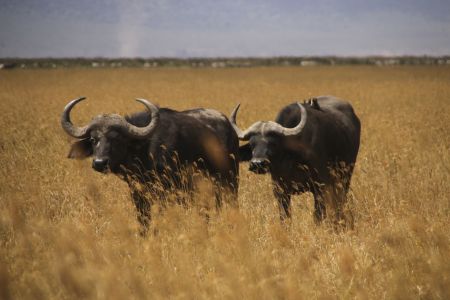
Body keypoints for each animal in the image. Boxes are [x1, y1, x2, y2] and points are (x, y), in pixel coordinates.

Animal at [62, 97, 243, 229]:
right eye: (93, 139)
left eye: (117, 139)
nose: (99, 163)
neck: (146, 150)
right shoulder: (138, 194)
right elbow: (144, 221)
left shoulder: (167, 193)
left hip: (230, 182)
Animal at [232, 96, 362, 225]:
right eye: (252, 144)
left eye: (273, 143)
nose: (257, 163)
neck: (292, 161)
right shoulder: (280, 191)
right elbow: (285, 217)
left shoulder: (319, 188)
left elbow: (318, 216)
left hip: (345, 176)